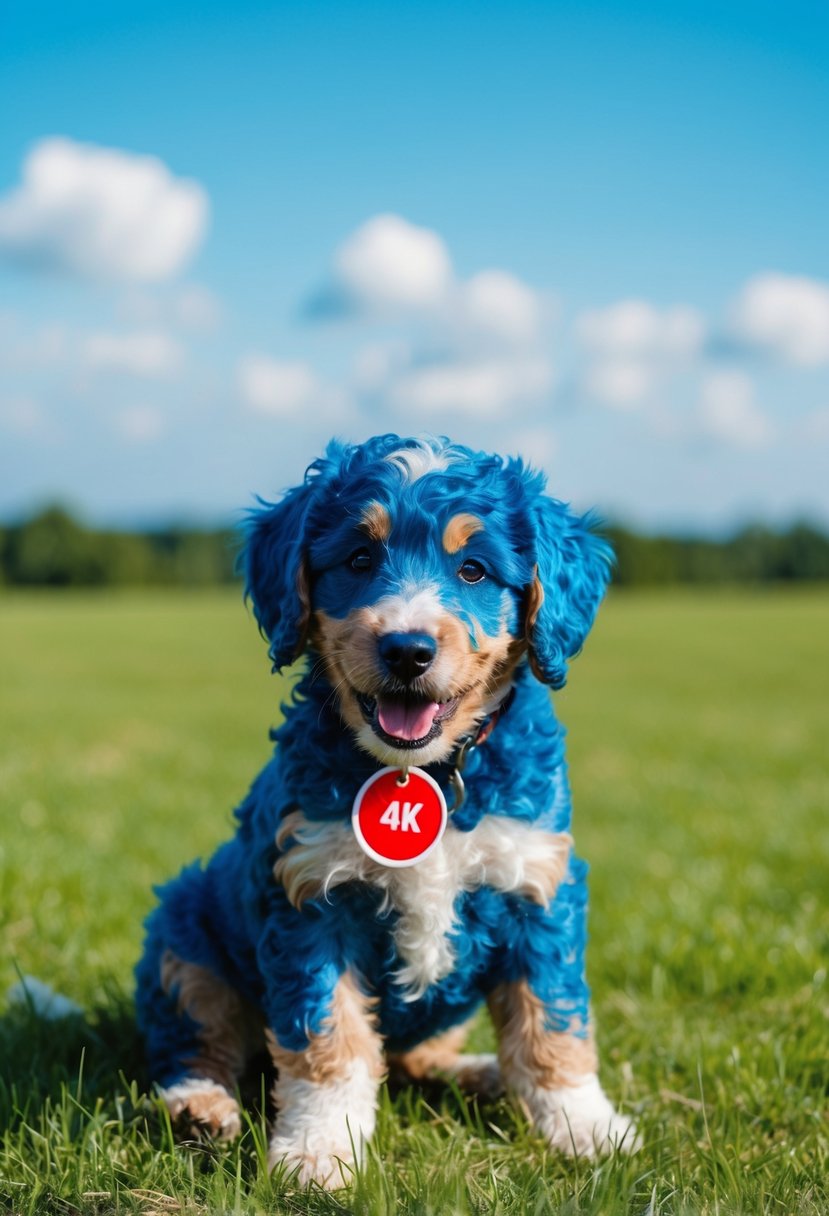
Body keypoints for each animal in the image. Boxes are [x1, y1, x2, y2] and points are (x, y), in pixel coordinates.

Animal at [137, 437, 632, 1186]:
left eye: (473, 569)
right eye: (359, 559)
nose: (407, 649)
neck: (422, 772)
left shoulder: (537, 887)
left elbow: (551, 1025)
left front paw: (584, 1126)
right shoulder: (310, 897)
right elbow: (329, 1040)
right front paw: (319, 1151)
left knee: (418, 1057)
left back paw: (482, 1074)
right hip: (184, 939)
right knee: (197, 1044)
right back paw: (197, 1107)